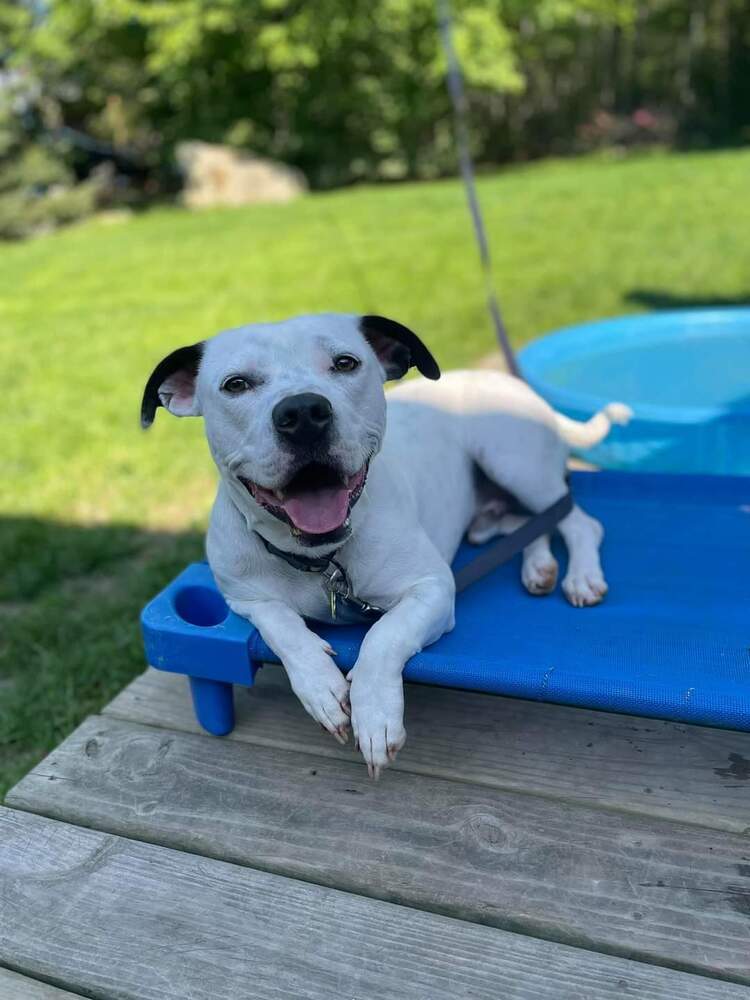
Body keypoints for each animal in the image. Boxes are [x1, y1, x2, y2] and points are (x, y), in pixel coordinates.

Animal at [140, 312, 628, 772]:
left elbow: (383, 635)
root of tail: (515, 386)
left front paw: (375, 713)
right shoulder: (246, 599)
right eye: (236, 384)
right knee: (530, 525)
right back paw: (538, 567)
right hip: (495, 509)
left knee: (580, 523)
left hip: (516, 464)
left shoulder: (432, 589)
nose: (303, 413)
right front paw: (320, 685)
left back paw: (581, 577)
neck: (320, 560)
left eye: (345, 363)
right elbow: (283, 627)